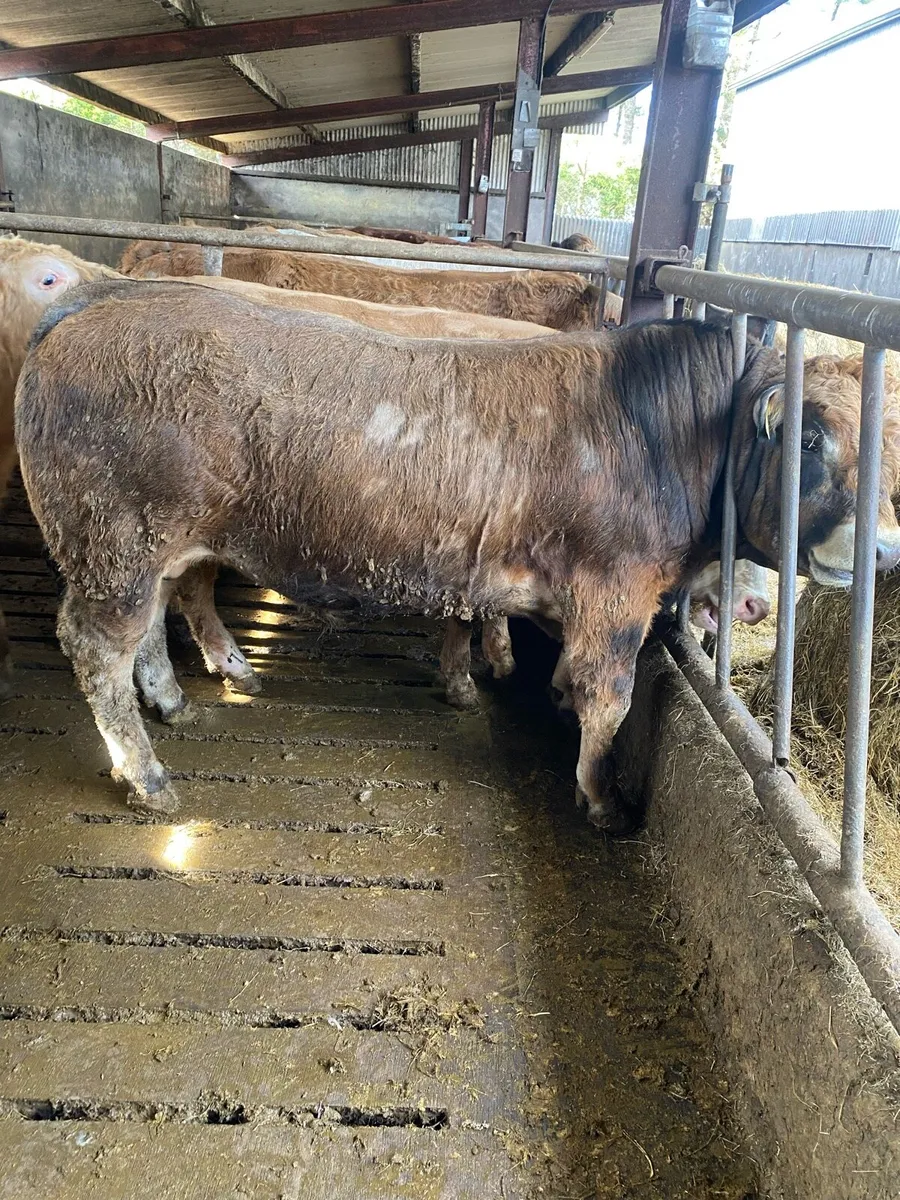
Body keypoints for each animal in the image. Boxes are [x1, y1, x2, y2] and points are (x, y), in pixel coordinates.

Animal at [18, 281, 900, 830]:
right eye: (811, 437)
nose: (885, 548)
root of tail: (86, 310)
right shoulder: (616, 594)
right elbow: (607, 698)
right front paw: (601, 798)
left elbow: (484, 630)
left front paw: (486, 683)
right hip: (115, 541)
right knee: (97, 645)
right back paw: (148, 773)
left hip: (151, 549)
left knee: (153, 624)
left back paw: (177, 697)